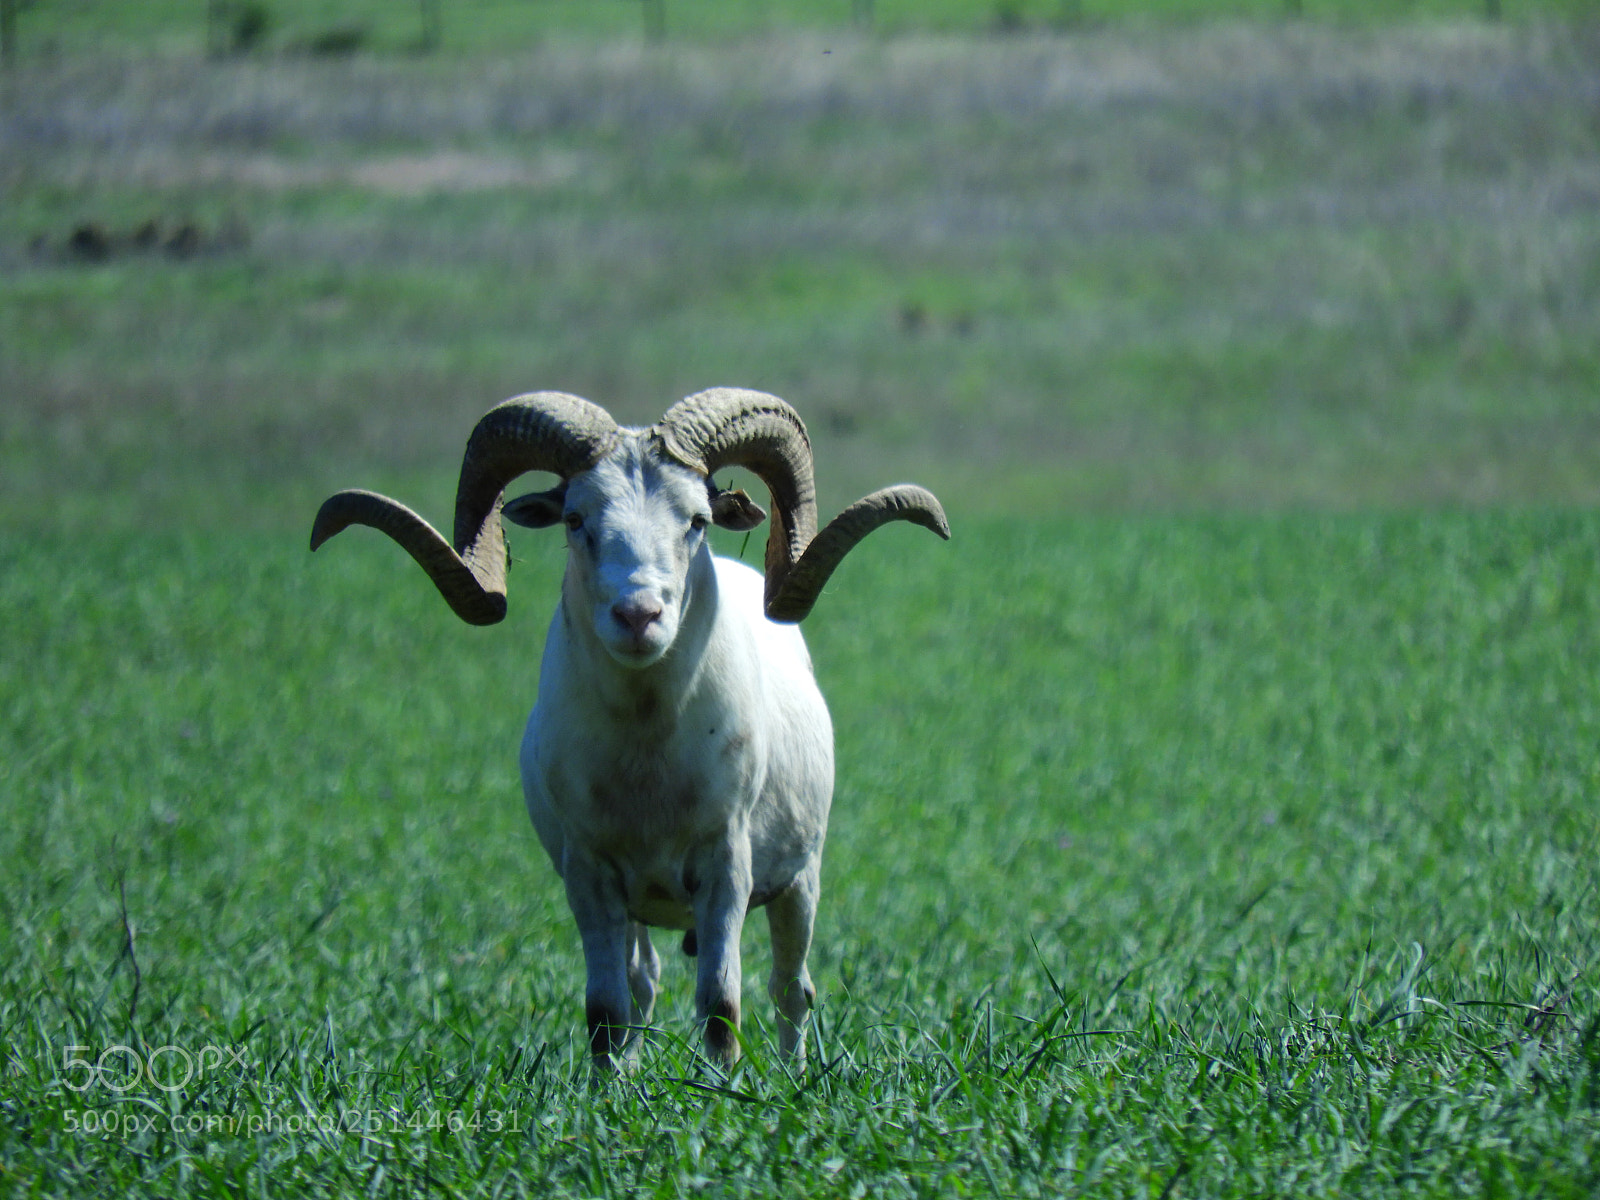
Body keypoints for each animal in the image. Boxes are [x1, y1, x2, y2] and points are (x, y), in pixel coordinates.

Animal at [310, 388, 948, 1069]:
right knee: (644, 984)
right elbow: (606, 1011)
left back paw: (792, 1073)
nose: (639, 615)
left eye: (696, 519)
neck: (649, 760)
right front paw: (609, 1088)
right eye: (575, 519)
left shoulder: (726, 868)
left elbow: (721, 1007)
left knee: (790, 989)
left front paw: (719, 1089)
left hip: (799, 881)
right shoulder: (592, 875)